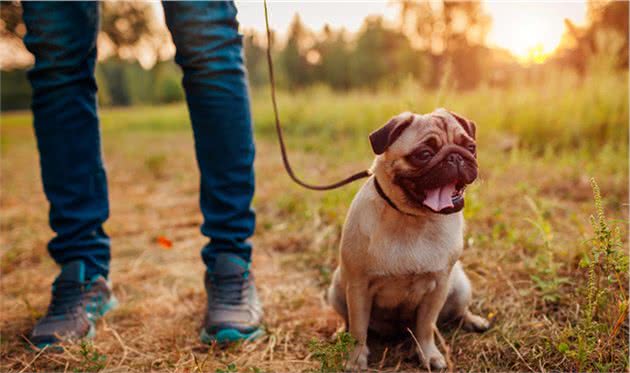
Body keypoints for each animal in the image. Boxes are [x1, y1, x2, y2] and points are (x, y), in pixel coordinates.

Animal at [328, 108, 492, 370]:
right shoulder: (358, 287)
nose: (456, 156)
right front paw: (355, 359)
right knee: (348, 320)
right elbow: (359, 329)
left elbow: (426, 326)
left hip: (460, 286)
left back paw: (473, 320)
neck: (414, 219)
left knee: (458, 311)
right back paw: (340, 333)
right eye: (424, 154)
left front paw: (428, 355)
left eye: (470, 147)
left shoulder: (438, 287)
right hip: (336, 288)